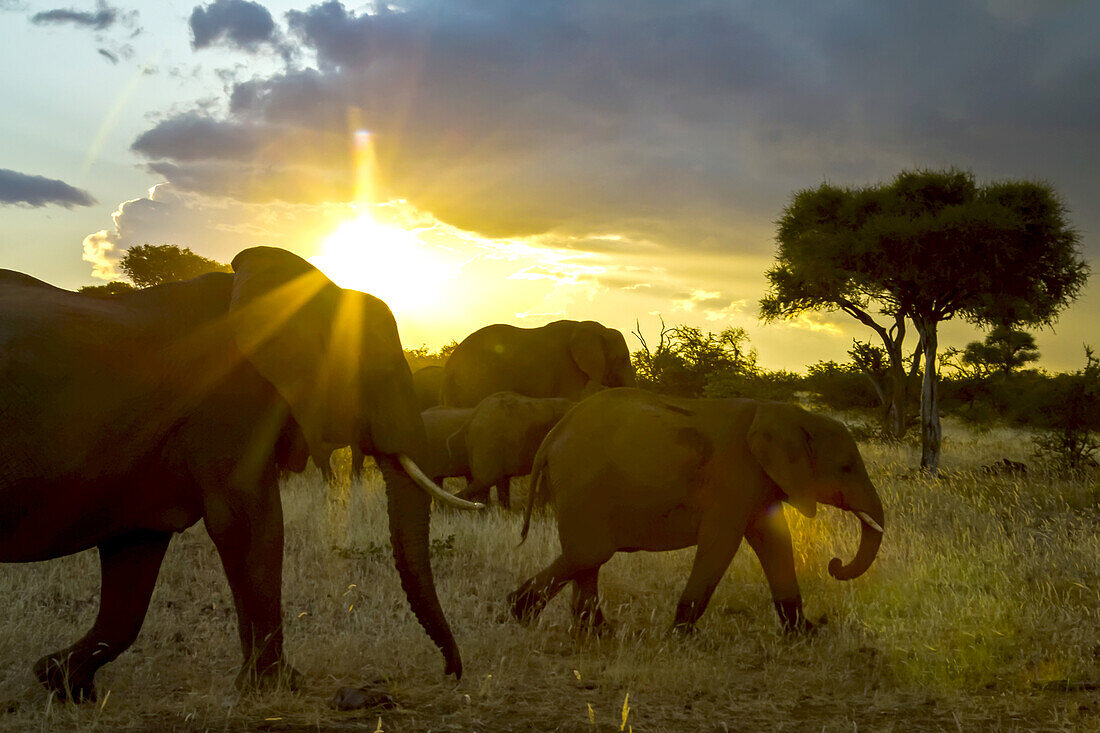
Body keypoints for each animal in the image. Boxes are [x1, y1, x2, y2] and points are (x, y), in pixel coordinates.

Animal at [2, 246, 479, 704]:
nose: (451, 673)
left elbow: (136, 554)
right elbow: (248, 521)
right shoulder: (227, 400)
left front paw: (60, 681)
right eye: (378, 375)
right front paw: (277, 686)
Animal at [508, 387, 884, 633]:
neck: (790, 414)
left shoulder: (757, 483)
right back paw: (520, 612)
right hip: (583, 484)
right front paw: (682, 634)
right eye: (846, 467)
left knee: (588, 557)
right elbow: (721, 544)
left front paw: (805, 633)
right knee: (590, 552)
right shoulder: (733, 479)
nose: (835, 565)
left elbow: (775, 541)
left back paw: (596, 630)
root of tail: (553, 435)